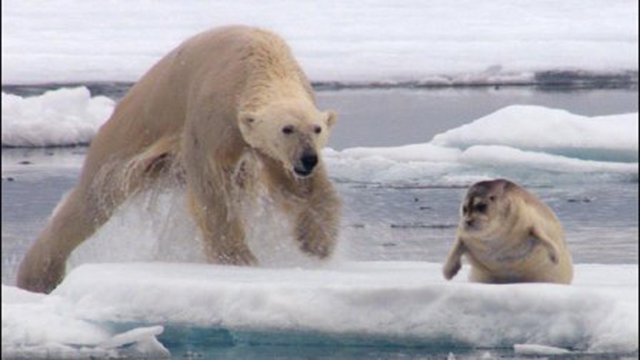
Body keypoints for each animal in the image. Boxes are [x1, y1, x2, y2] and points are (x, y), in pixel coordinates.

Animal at [17, 26, 342, 294]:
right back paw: (38, 275)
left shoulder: (267, 145)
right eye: (287, 129)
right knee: (94, 199)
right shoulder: (213, 111)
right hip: (131, 133)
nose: (308, 158)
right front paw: (239, 258)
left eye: (317, 129)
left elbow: (300, 187)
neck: (260, 61)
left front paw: (317, 243)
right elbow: (212, 184)